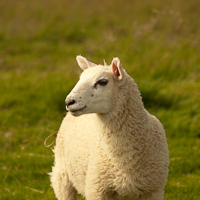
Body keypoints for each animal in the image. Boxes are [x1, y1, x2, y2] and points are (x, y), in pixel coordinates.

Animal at [49, 55, 169, 200]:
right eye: (80, 79)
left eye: (102, 82)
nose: (69, 101)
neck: (125, 162)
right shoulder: (97, 190)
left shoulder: (153, 190)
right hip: (62, 175)